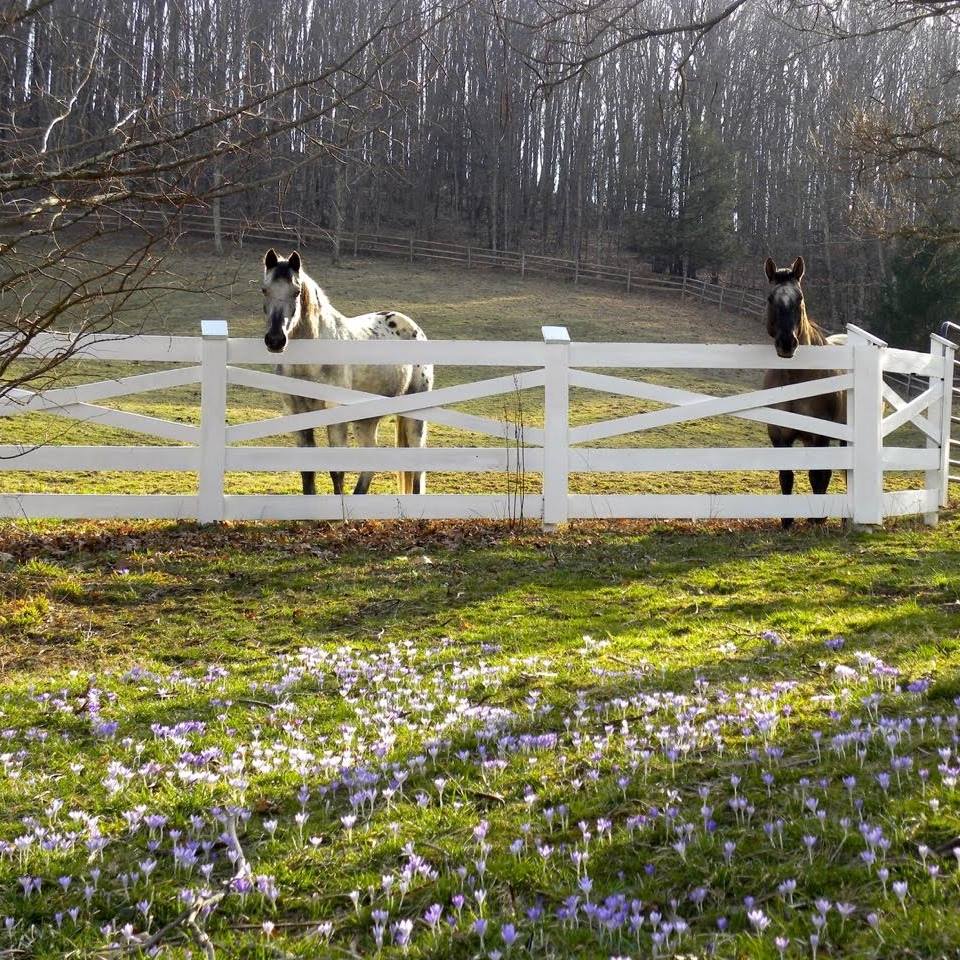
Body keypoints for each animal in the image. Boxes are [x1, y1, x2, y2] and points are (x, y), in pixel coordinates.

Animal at [258, 249, 432, 496]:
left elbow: (337, 471)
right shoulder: (296, 412)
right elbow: (307, 470)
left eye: (297, 291)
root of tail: (414, 327)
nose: (275, 340)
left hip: (415, 412)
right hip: (367, 419)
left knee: (417, 465)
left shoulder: (335, 414)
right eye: (265, 289)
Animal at [760, 255, 844, 528]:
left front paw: (817, 519)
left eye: (800, 299)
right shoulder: (779, 434)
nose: (787, 344)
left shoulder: (820, 435)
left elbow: (819, 476)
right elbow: (786, 475)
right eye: (770, 299)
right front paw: (787, 521)